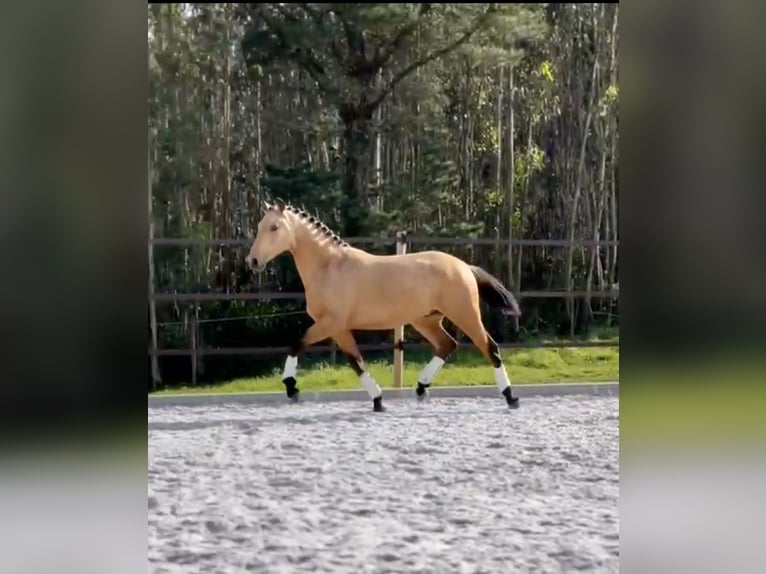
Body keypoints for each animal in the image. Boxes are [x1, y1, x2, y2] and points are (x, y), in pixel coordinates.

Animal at [246, 200, 520, 412]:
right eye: (259, 226)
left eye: (274, 227)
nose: (253, 261)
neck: (331, 267)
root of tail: (464, 266)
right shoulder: (339, 329)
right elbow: (356, 362)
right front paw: (378, 400)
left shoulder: (330, 323)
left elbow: (297, 344)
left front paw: (292, 387)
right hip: (426, 319)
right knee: (447, 344)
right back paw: (421, 388)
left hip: (465, 314)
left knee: (490, 348)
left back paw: (510, 397)